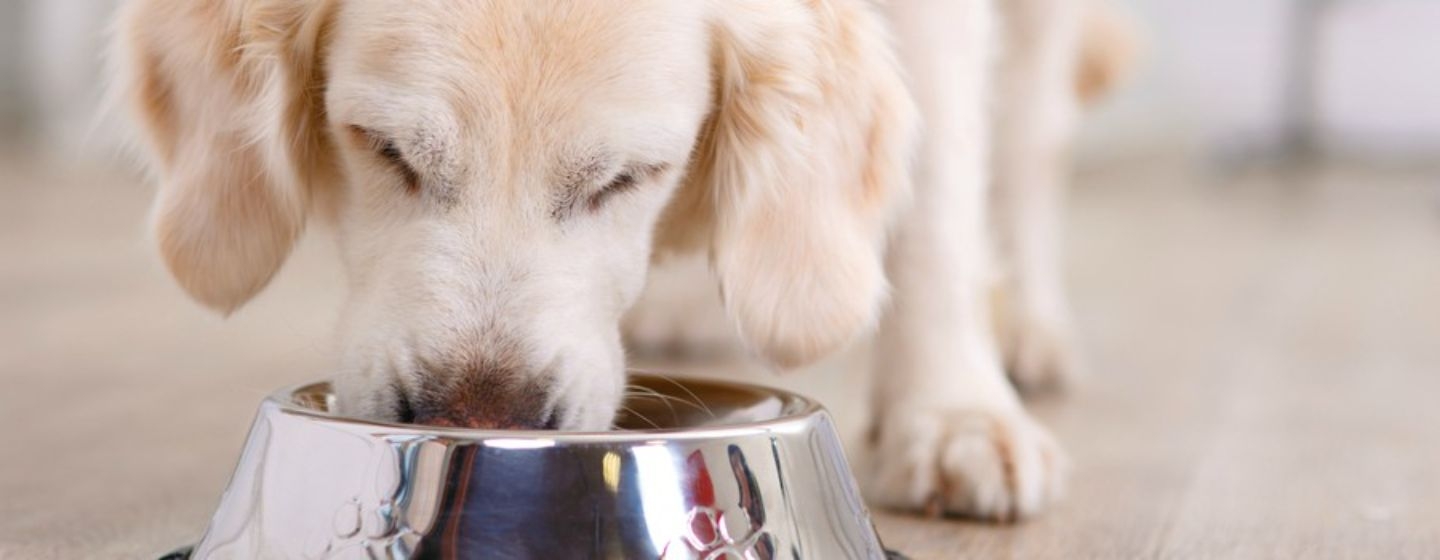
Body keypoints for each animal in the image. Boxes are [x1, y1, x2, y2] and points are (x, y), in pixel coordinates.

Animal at [112, 0, 1123, 518]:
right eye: (386, 149)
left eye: (628, 177)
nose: (480, 420)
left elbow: (940, 192)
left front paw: (951, 416)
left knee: (1031, 133)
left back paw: (1027, 330)